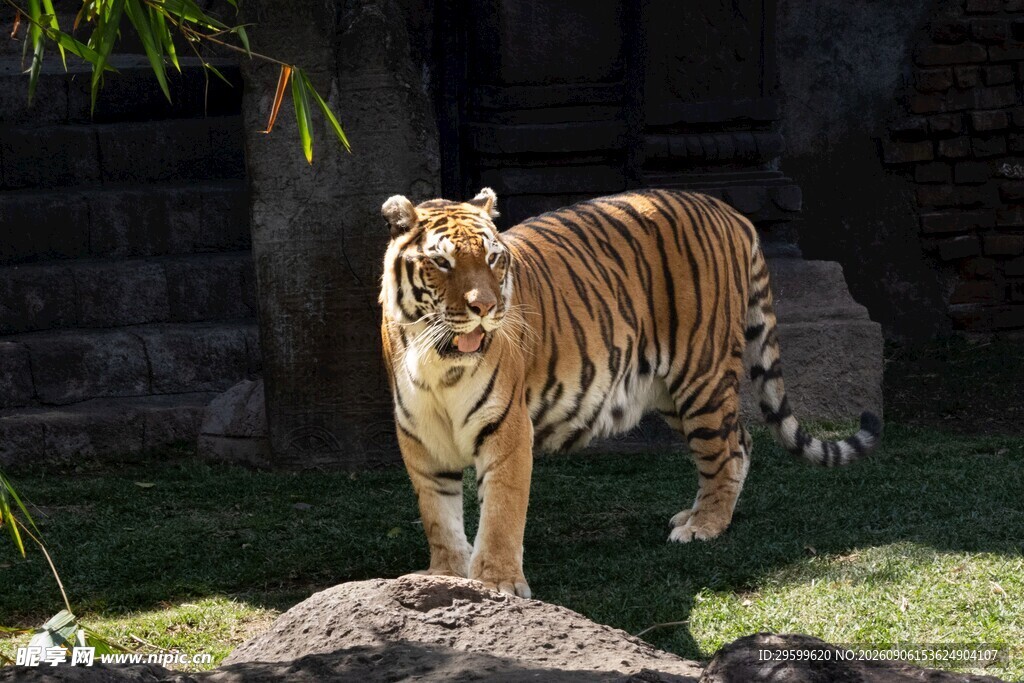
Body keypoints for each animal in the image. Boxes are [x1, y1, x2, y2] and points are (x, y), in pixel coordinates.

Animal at [378, 187, 882, 599]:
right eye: (442, 262)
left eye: (493, 259)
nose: (485, 307)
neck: (439, 360)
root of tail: (730, 211)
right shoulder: (420, 438)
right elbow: (438, 516)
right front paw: (445, 576)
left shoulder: (507, 428)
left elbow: (501, 511)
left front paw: (496, 583)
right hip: (671, 391)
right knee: (739, 441)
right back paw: (696, 515)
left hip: (701, 375)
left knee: (726, 449)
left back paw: (704, 526)